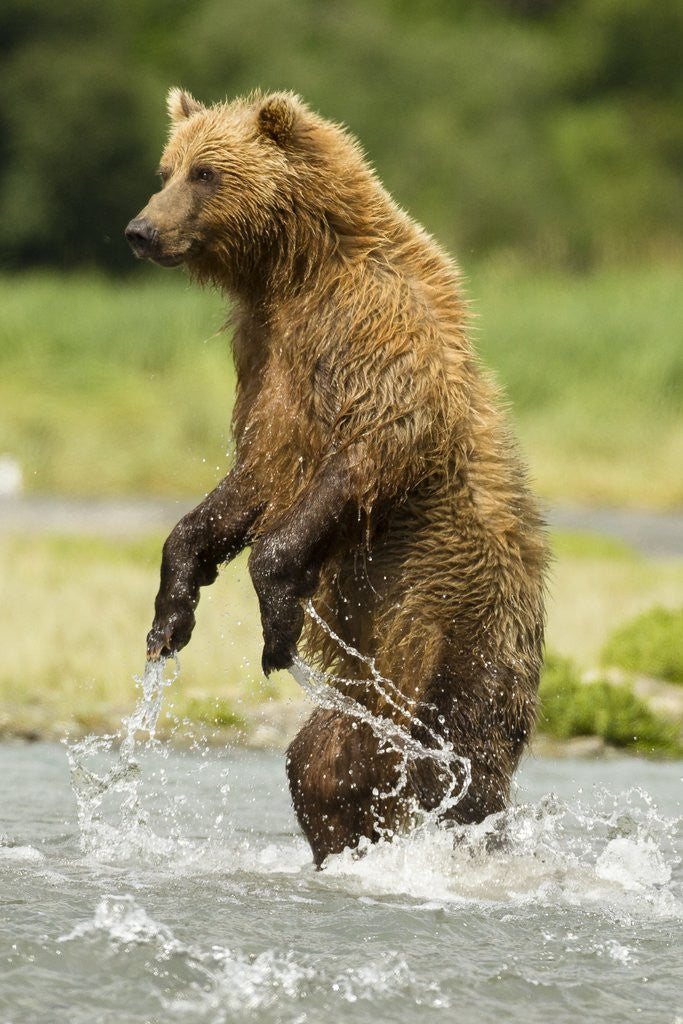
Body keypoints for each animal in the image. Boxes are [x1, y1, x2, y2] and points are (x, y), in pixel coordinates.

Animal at [125, 88, 548, 867]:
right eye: (166, 169)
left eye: (205, 173)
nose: (141, 230)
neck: (296, 271)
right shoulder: (267, 359)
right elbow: (254, 478)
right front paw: (172, 608)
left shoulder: (370, 329)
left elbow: (376, 444)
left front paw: (275, 616)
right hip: (369, 689)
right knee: (328, 761)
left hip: (455, 629)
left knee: (457, 759)